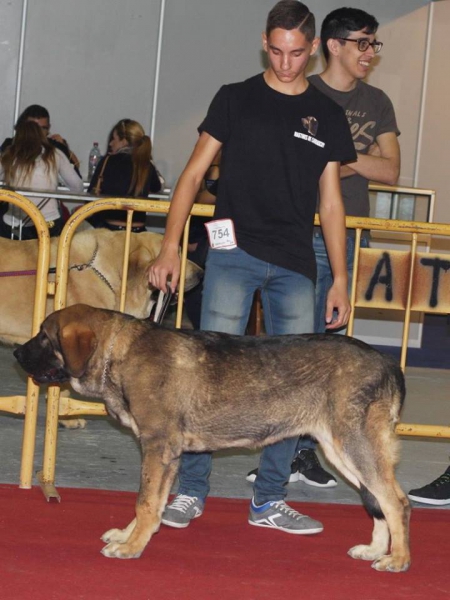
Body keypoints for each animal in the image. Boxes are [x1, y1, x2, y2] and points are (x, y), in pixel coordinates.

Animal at [14, 304, 410, 572]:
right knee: (379, 502)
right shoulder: (168, 457)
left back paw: (398, 560)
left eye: (45, 336)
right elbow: (151, 504)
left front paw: (132, 547)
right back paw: (376, 551)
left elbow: (144, 504)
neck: (119, 352)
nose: (16, 352)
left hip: (355, 447)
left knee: (396, 502)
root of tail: (390, 364)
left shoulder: (157, 449)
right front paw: (130, 536)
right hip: (342, 451)